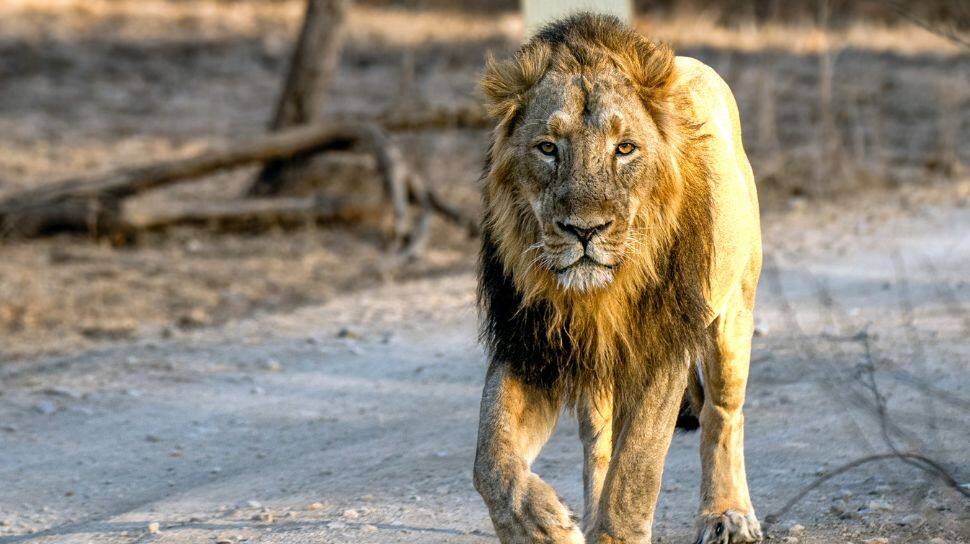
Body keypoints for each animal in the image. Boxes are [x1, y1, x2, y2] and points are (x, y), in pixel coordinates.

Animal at [473, 14, 763, 544]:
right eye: (548, 148)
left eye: (624, 148)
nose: (584, 230)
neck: (600, 295)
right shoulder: (529, 342)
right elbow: (492, 459)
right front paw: (541, 525)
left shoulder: (664, 345)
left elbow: (636, 470)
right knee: (599, 443)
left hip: (732, 312)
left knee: (722, 414)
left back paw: (726, 514)